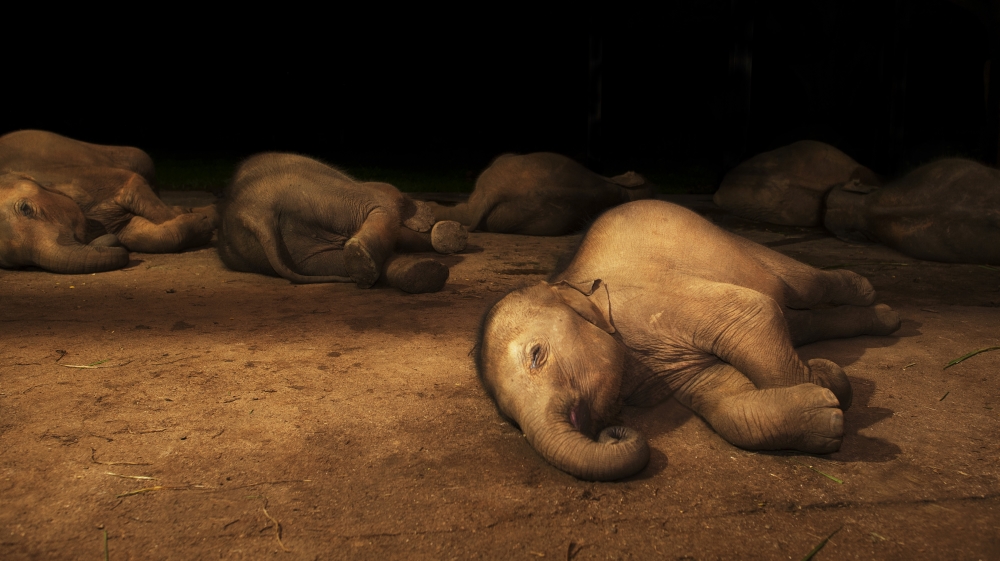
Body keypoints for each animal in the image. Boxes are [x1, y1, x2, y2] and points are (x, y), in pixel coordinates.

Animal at [0, 130, 218, 254]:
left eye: (26, 208)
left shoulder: (69, 175)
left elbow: (131, 182)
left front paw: (197, 217)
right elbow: (137, 233)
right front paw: (201, 222)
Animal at [476, 200, 901, 481]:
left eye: (536, 355)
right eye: (509, 419)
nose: (613, 433)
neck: (566, 282)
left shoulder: (652, 302)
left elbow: (754, 313)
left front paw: (831, 382)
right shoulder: (671, 366)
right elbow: (725, 399)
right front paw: (828, 409)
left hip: (733, 243)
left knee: (802, 287)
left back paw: (869, 295)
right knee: (803, 321)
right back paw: (885, 318)